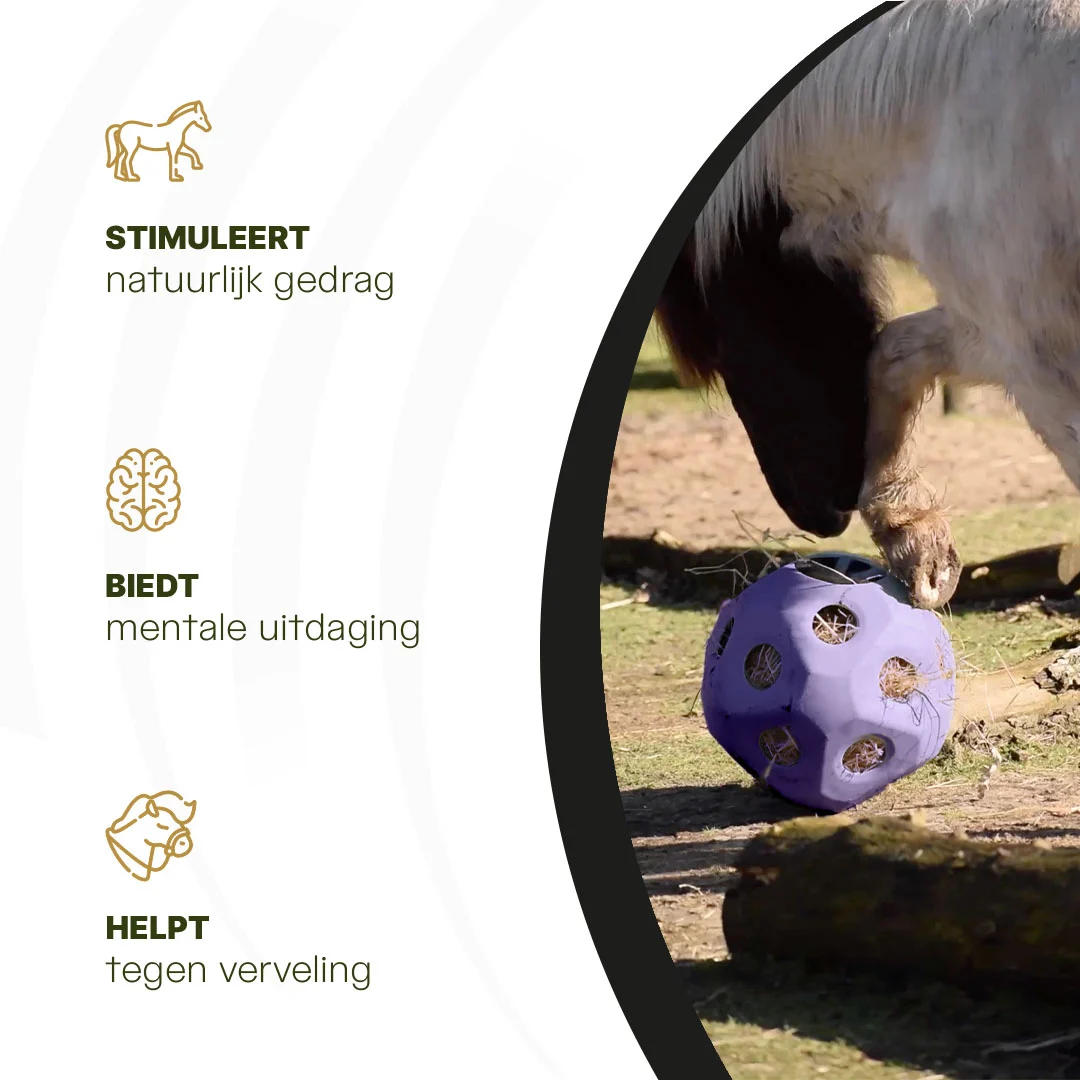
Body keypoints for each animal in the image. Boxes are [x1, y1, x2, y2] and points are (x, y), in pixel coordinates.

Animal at [657, 0, 1080, 609]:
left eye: (720, 346)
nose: (820, 514)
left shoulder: (1038, 350)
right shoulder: (992, 326)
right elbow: (892, 354)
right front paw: (913, 537)